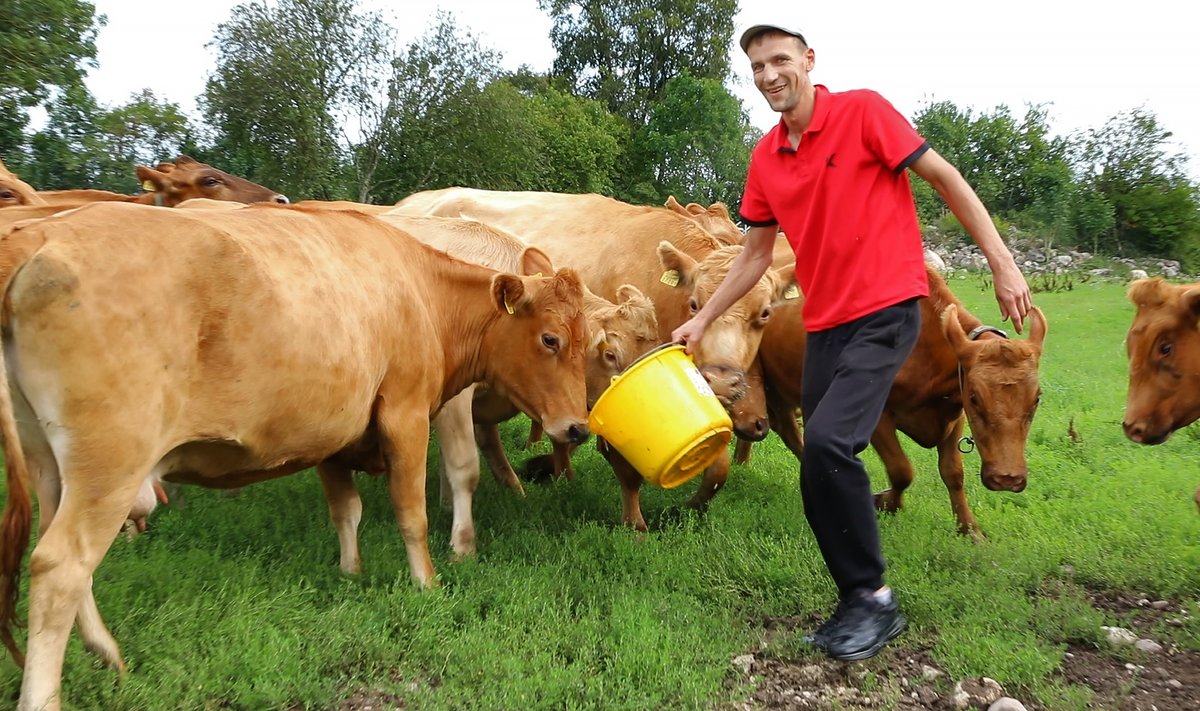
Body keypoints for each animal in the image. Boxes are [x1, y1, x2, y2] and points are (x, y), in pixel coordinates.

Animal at [0, 201, 590, 711]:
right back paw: (45, 695)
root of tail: (41, 234)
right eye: (550, 339)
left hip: (51, 465)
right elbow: (412, 512)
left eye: (586, 342)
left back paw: (107, 652)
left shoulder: (332, 432)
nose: (578, 427)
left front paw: (351, 574)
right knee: (61, 566)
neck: (423, 293)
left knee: (60, 554)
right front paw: (428, 583)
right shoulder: (404, 412)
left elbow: (346, 511)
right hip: (112, 466)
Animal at [388, 186, 792, 530]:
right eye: (696, 304)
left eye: (765, 313)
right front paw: (635, 523)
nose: (724, 381)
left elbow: (718, 466)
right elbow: (623, 466)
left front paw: (690, 507)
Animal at [734, 264, 1046, 535]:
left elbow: (953, 474)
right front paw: (885, 502)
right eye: (975, 397)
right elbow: (901, 470)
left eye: (1036, 399)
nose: (1007, 478)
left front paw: (970, 529)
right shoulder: (878, 418)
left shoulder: (953, 417)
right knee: (788, 432)